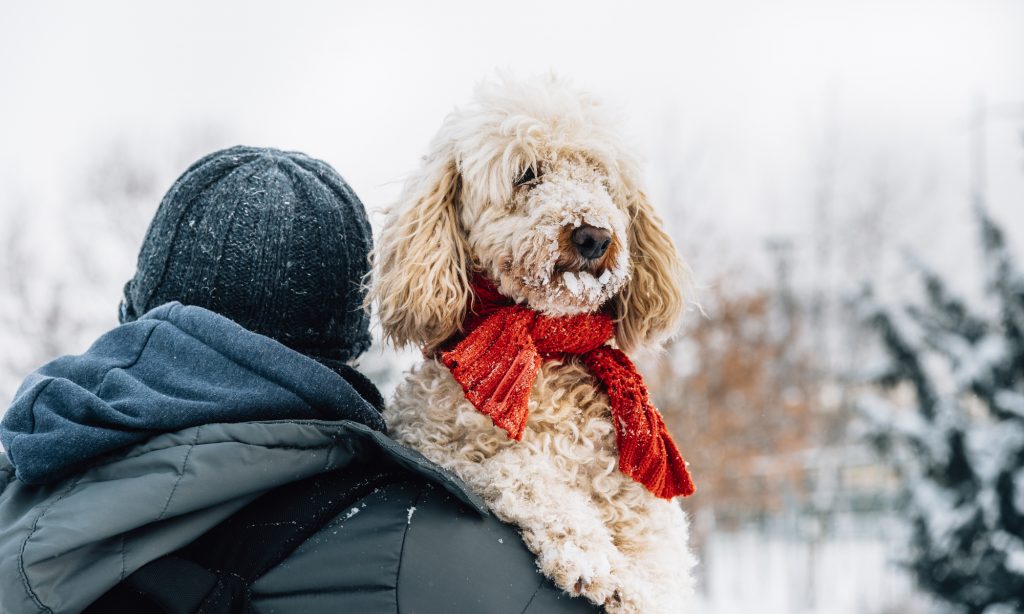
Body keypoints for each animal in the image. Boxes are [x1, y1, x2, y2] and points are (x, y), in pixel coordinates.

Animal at [366, 74, 696, 609]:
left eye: (601, 178)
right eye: (526, 175)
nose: (594, 235)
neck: (549, 345)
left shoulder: (641, 501)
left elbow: (661, 562)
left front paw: (640, 589)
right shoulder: (445, 452)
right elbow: (522, 470)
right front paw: (593, 560)